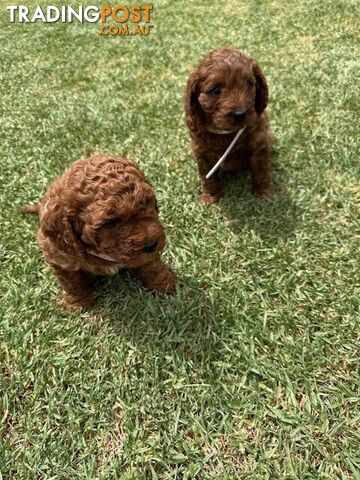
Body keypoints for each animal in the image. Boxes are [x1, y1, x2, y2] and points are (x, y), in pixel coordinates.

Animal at [22, 156, 177, 310]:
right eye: (111, 222)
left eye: (150, 203)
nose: (151, 244)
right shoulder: (59, 257)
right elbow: (72, 282)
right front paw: (79, 303)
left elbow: (152, 265)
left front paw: (164, 285)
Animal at [184, 45, 274, 202]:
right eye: (216, 90)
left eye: (249, 84)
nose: (240, 114)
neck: (226, 132)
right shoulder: (201, 151)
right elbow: (207, 177)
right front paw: (210, 196)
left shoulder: (259, 143)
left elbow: (261, 171)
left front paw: (264, 193)